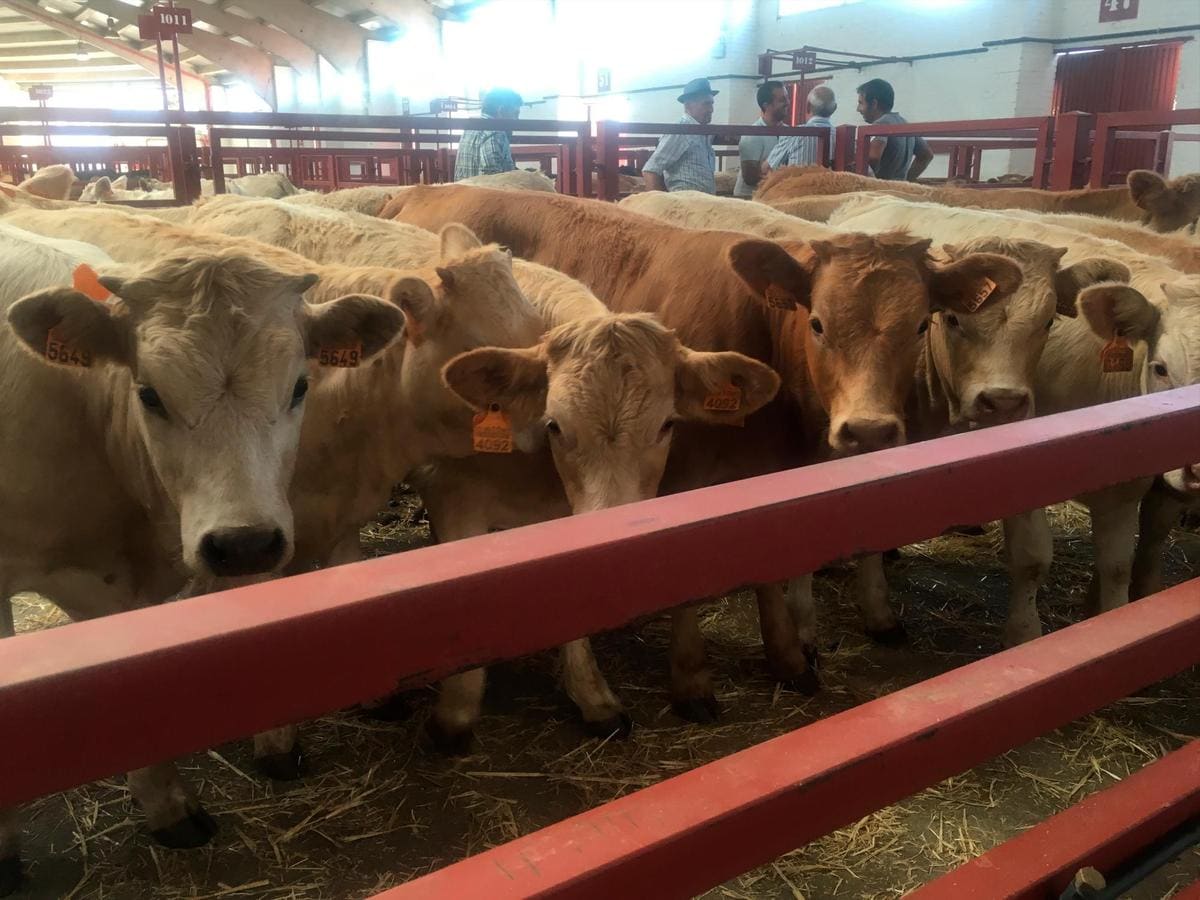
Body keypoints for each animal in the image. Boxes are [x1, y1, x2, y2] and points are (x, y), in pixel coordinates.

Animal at [384, 183, 1022, 720]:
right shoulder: (675, 480)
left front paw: (788, 658)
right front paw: (691, 681)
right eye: (816, 322)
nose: (867, 431)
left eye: (921, 325)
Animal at [835, 194, 1200, 633]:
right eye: (1161, 367)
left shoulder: (1127, 489)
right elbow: (1032, 559)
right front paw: (1024, 633)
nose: (1004, 401)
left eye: (1049, 321)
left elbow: (1117, 565)